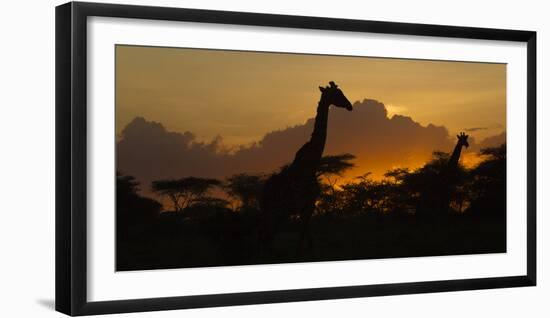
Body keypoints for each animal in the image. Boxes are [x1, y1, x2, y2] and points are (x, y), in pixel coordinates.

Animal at [258, 81, 354, 256]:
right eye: (337, 94)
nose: (349, 105)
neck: (311, 164)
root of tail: (263, 193)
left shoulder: (308, 206)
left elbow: (307, 238)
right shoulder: (306, 205)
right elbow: (302, 237)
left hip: (276, 212)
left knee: (267, 237)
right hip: (275, 211)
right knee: (265, 236)